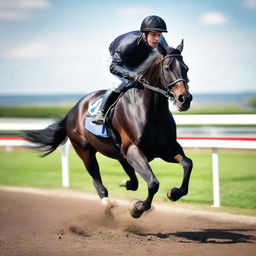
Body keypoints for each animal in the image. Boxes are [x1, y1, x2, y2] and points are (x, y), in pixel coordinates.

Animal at [24, 39, 193, 218]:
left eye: (186, 68)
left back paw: (127, 183)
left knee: (132, 179)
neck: (151, 111)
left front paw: (174, 192)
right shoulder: (133, 150)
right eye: (167, 68)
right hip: (85, 151)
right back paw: (108, 204)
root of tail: (73, 109)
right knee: (97, 180)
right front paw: (137, 208)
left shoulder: (167, 149)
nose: (185, 99)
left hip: (120, 154)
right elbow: (153, 183)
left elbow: (187, 163)